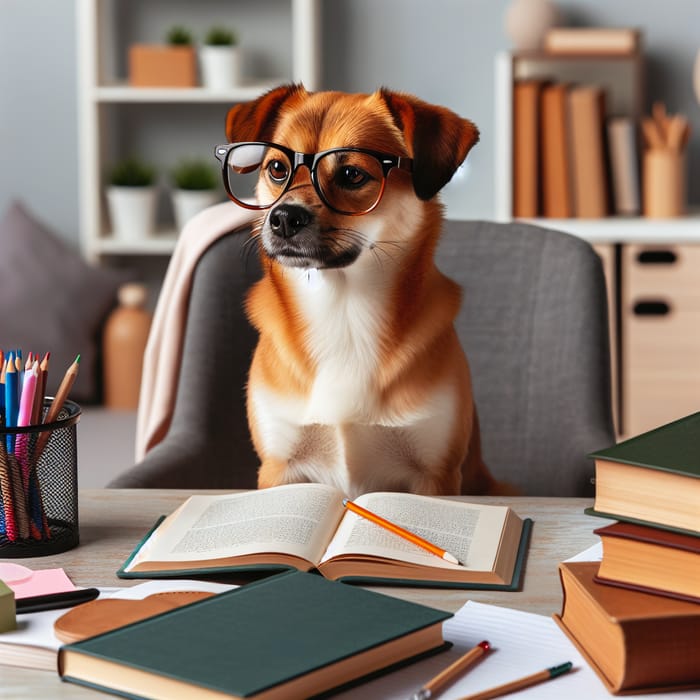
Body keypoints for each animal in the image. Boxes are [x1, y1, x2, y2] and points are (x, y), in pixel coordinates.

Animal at [221, 83, 506, 498]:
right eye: (277, 169)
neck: (343, 310)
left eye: (352, 174)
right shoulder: (279, 466)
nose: (284, 218)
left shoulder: (435, 473)